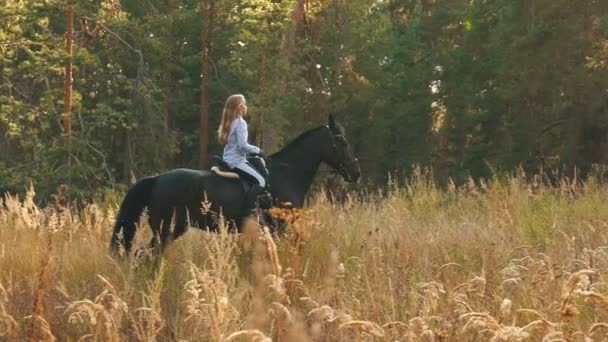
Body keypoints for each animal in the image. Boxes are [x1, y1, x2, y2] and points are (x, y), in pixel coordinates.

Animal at [108, 115, 358, 254]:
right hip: (166, 229)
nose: (356, 172)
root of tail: (157, 179)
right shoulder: (280, 227)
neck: (287, 173)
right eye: (342, 142)